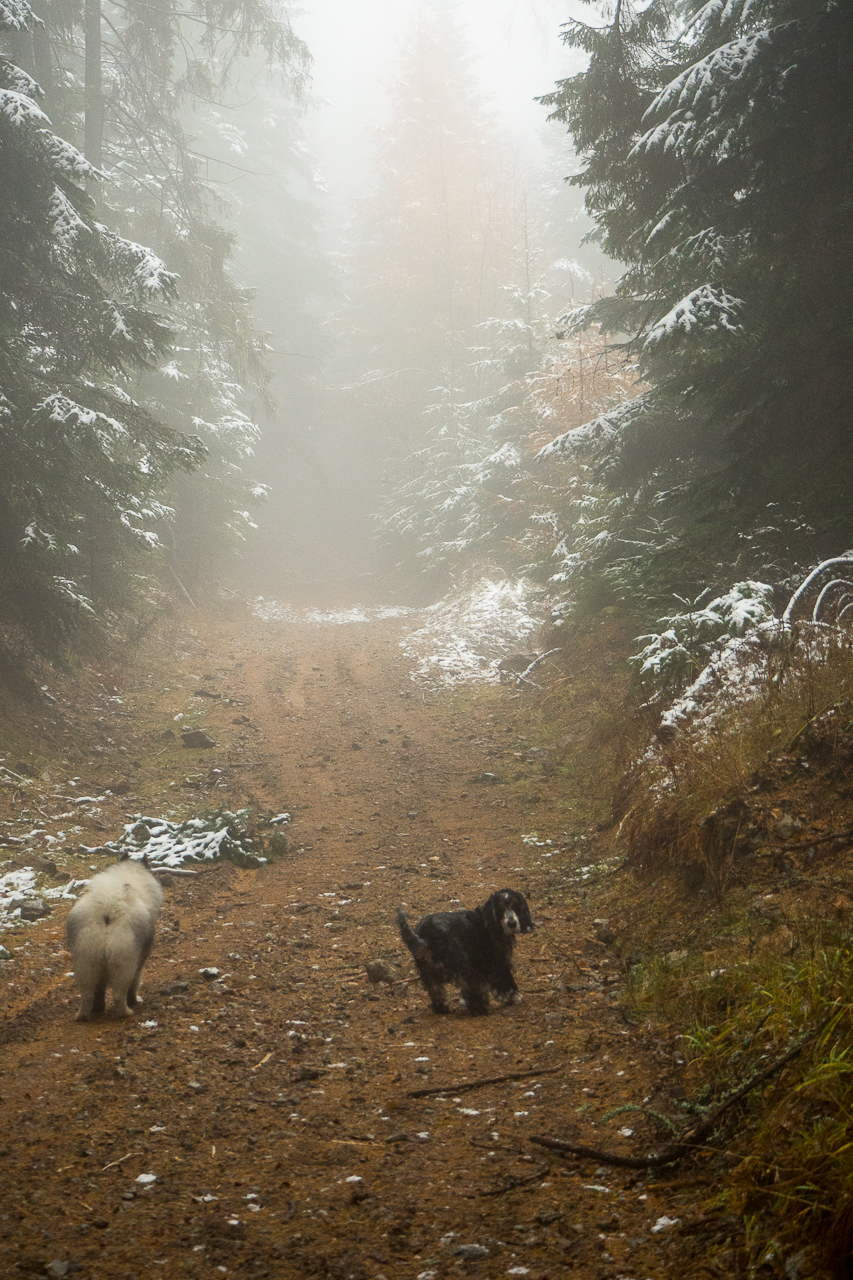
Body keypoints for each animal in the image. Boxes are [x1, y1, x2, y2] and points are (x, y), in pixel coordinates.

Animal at [66, 855, 162, 1024]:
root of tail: (107, 910)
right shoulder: (140, 959)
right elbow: (135, 981)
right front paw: (134, 1000)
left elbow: (100, 987)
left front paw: (99, 1006)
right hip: (123, 962)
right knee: (118, 994)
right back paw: (126, 1012)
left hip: (86, 961)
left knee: (87, 993)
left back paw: (84, 1014)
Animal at [397, 885, 532, 1013]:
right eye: (500, 908)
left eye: (515, 906)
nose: (512, 924)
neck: (490, 919)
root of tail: (425, 936)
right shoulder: (498, 960)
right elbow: (506, 979)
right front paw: (514, 997)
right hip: (463, 966)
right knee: (470, 990)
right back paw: (480, 1008)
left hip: (428, 972)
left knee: (436, 992)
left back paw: (442, 1008)